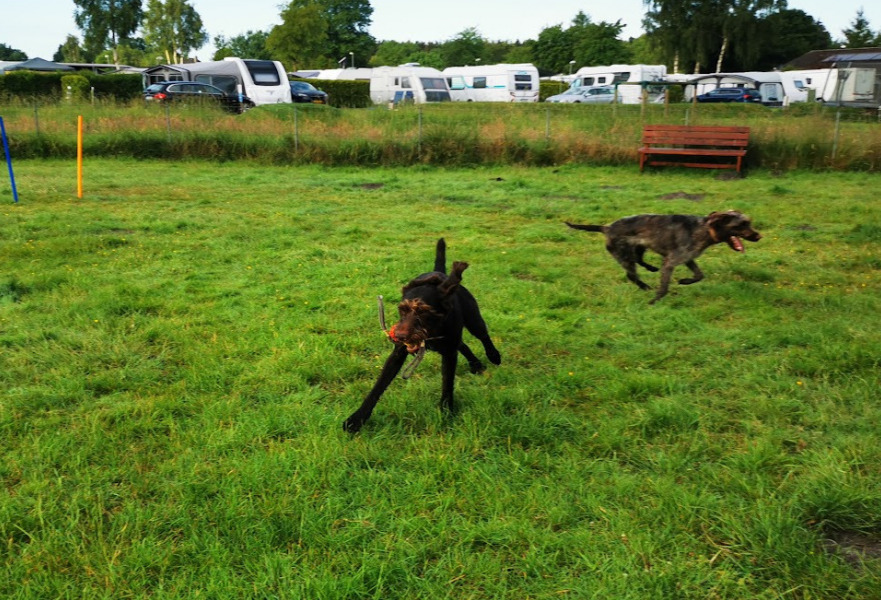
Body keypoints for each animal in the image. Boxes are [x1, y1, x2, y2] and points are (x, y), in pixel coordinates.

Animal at [343, 239, 501, 433]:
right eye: (402, 309)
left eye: (424, 312)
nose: (400, 336)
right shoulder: (397, 354)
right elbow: (378, 387)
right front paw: (357, 419)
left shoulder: (449, 353)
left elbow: (447, 383)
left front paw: (446, 411)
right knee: (463, 344)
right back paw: (475, 363)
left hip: (473, 319)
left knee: (483, 336)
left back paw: (493, 356)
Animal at [566, 211, 761, 303]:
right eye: (742, 224)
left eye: (749, 222)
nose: (759, 236)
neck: (704, 229)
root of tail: (606, 227)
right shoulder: (670, 262)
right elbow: (664, 288)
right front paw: (654, 301)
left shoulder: (687, 258)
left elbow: (699, 275)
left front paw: (684, 281)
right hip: (624, 254)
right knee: (631, 275)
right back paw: (645, 286)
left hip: (639, 247)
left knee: (639, 261)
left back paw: (651, 268)